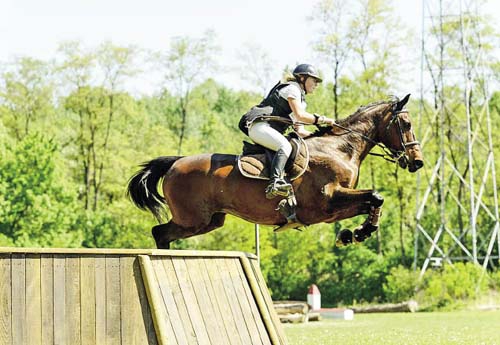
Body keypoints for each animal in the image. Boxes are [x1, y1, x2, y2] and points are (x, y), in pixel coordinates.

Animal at [128, 95, 422, 249]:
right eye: (406, 124)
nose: (417, 161)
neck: (340, 147)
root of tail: (175, 163)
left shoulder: (332, 209)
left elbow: (372, 201)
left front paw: (355, 233)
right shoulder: (326, 203)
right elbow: (376, 196)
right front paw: (359, 232)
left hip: (209, 220)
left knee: (164, 233)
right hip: (192, 218)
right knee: (160, 232)